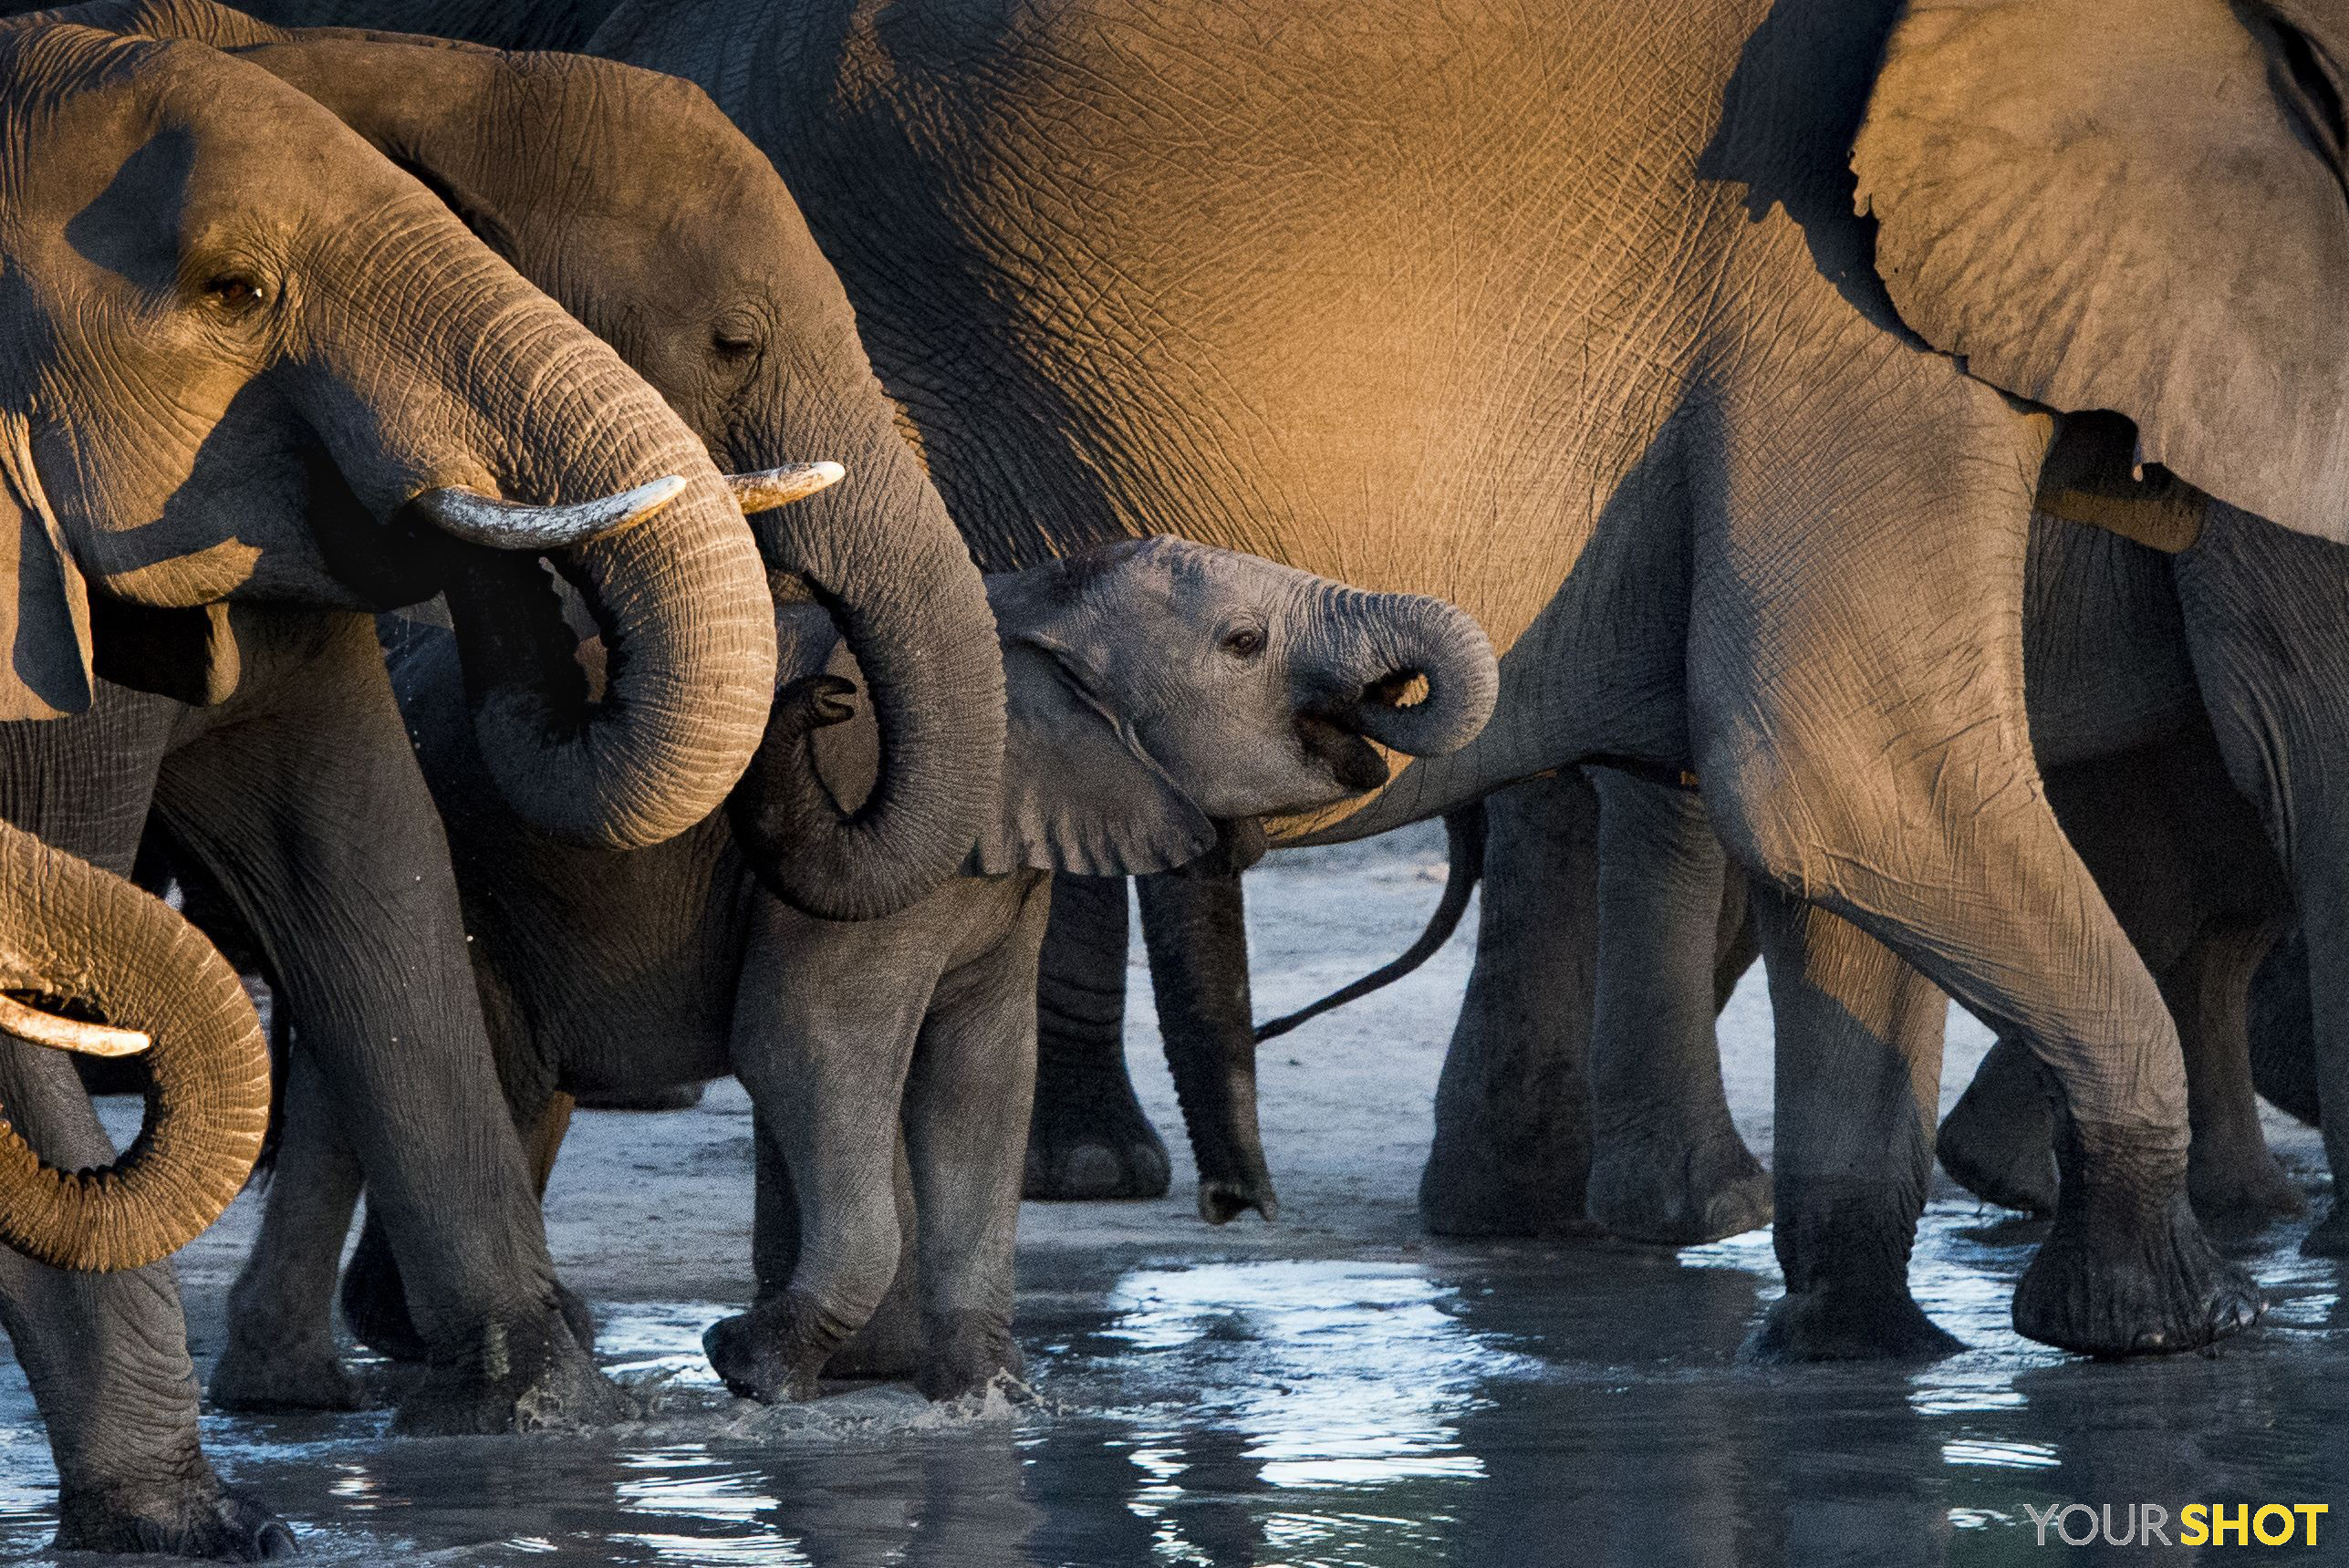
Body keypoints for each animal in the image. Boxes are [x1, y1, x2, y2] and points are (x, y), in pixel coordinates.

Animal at [591, 0, 2349, 1352]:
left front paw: (1868, 1347)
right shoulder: (1829, 297)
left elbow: (1859, 818)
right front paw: (2173, 1325)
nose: (1241, 1211)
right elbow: (1843, 759)